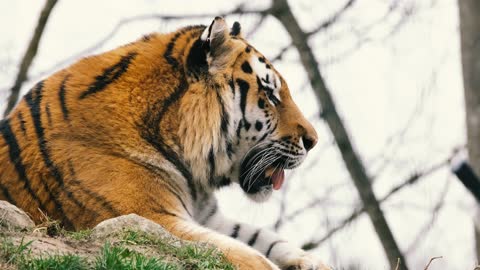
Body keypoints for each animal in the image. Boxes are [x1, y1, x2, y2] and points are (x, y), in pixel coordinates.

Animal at [0, 17, 330, 270]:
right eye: (271, 95)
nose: (313, 141)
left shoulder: (208, 216)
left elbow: (265, 239)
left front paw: (313, 262)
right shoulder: (151, 217)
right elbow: (251, 256)